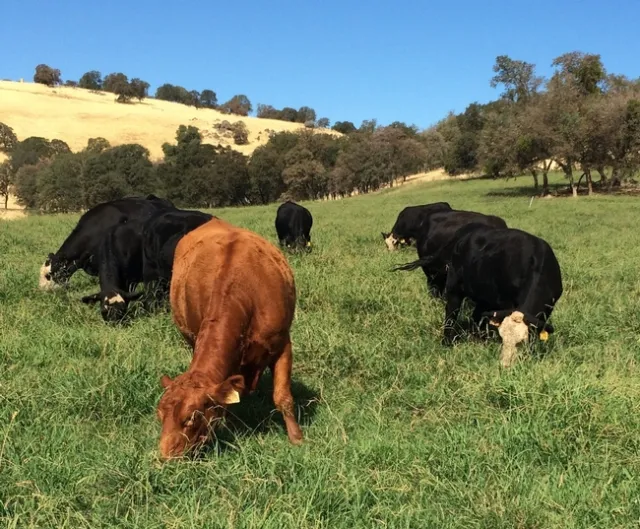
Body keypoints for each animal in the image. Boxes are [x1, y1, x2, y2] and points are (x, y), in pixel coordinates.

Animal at [157, 218, 303, 459]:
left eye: (192, 417)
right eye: (160, 416)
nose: (166, 456)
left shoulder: (282, 344)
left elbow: (283, 397)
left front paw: (297, 438)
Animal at [442, 222, 563, 367]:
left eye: (521, 341)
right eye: (502, 338)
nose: (505, 364)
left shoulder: (547, 308)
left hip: (485, 298)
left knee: (476, 316)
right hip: (453, 288)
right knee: (451, 314)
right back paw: (447, 343)